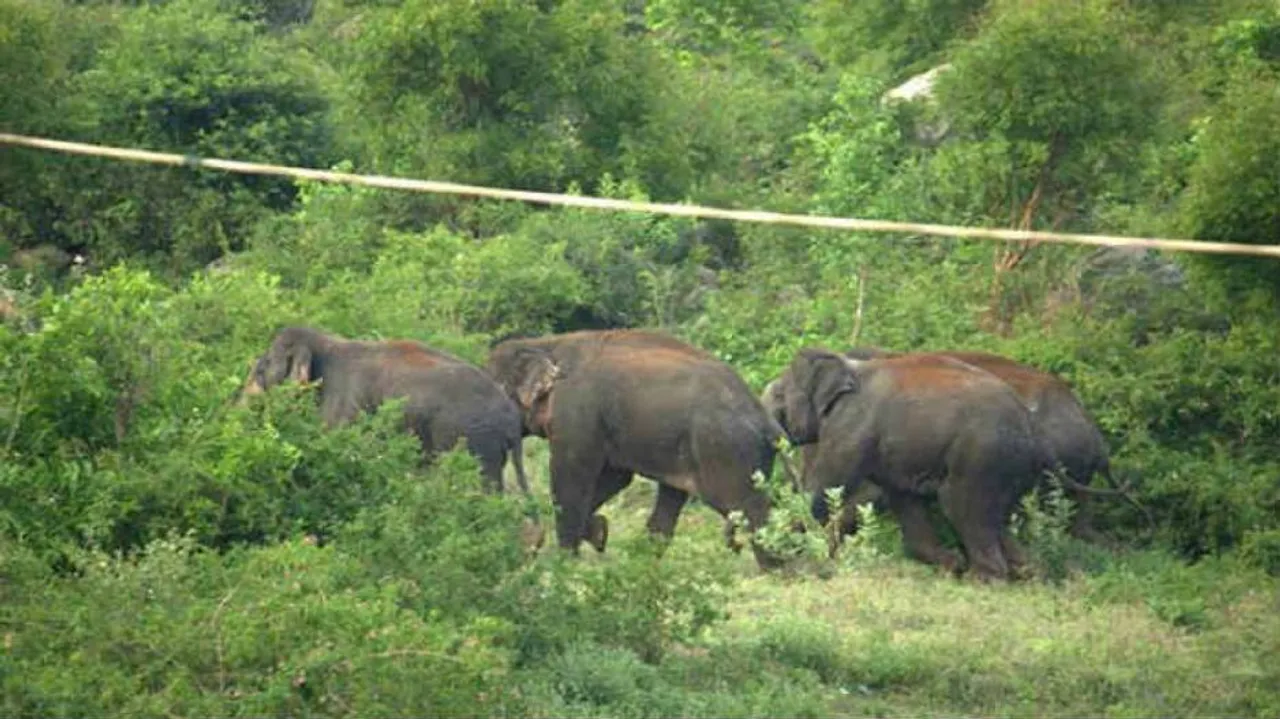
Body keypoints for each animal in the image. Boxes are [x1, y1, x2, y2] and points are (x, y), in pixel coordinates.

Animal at [485, 329, 789, 569]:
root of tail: (769, 423)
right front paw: (599, 533)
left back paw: (780, 571)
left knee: (746, 506)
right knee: (673, 500)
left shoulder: (576, 412)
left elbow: (571, 474)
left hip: (723, 448)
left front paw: (566, 560)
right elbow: (615, 477)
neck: (547, 343)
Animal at [763, 348, 1050, 580]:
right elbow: (904, 499)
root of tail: (1027, 423)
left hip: (980, 453)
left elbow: (826, 486)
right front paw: (952, 564)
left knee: (962, 506)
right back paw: (1026, 572)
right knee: (996, 516)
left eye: (779, 393)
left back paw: (985, 579)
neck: (848, 365)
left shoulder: (851, 426)